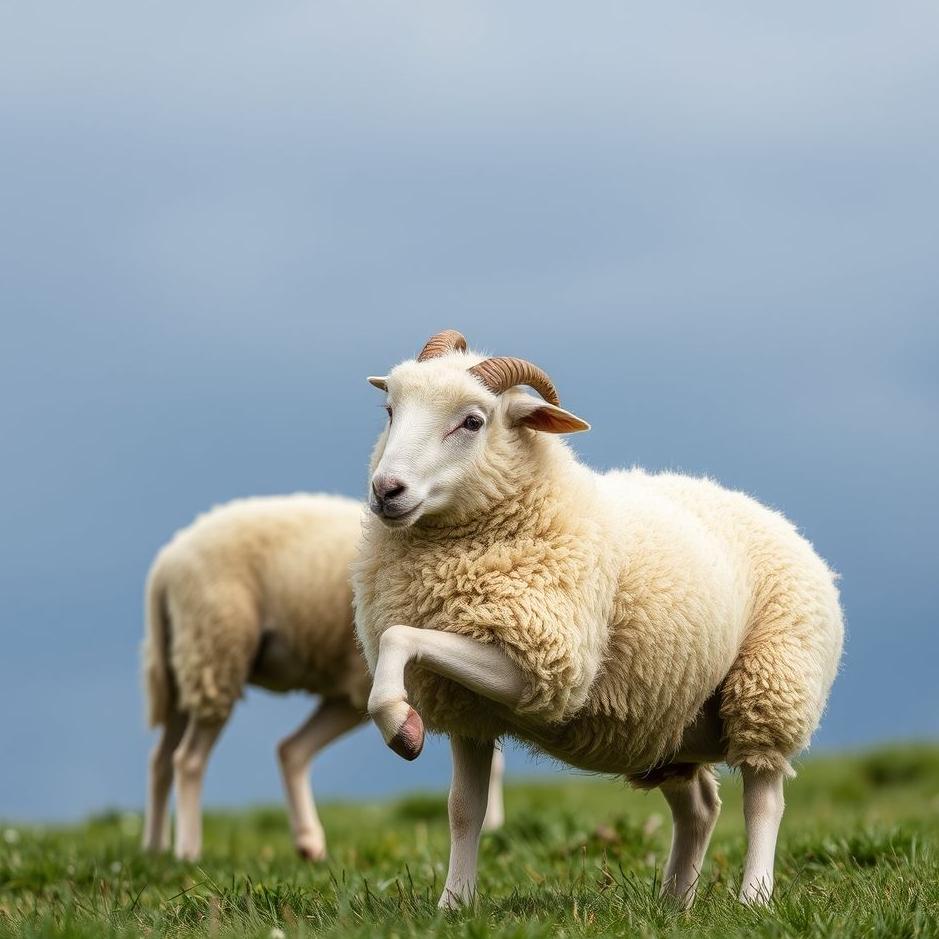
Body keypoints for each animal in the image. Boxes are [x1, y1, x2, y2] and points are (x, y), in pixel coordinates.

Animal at [352, 329, 844, 909]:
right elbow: (463, 811)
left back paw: (753, 898)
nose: (387, 490)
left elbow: (398, 636)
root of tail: (789, 526)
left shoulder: (545, 667)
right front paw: (453, 906)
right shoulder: (469, 709)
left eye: (473, 421)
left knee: (763, 796)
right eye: (390, 410)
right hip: (671, 721)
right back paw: (674, 904)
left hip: (771, 682)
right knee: (701, 806)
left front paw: (399, 726)